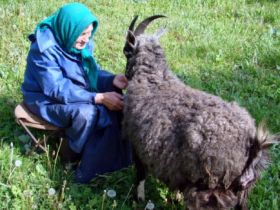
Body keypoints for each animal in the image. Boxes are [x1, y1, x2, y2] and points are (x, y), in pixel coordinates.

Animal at [121, 16, 278, 210]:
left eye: (126, 50)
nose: (125, 75)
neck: (154, 79)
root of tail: (252, 145)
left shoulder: (136, 145)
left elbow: (140, 175)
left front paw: (138, 199)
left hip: (211, 189)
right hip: (242, 191)